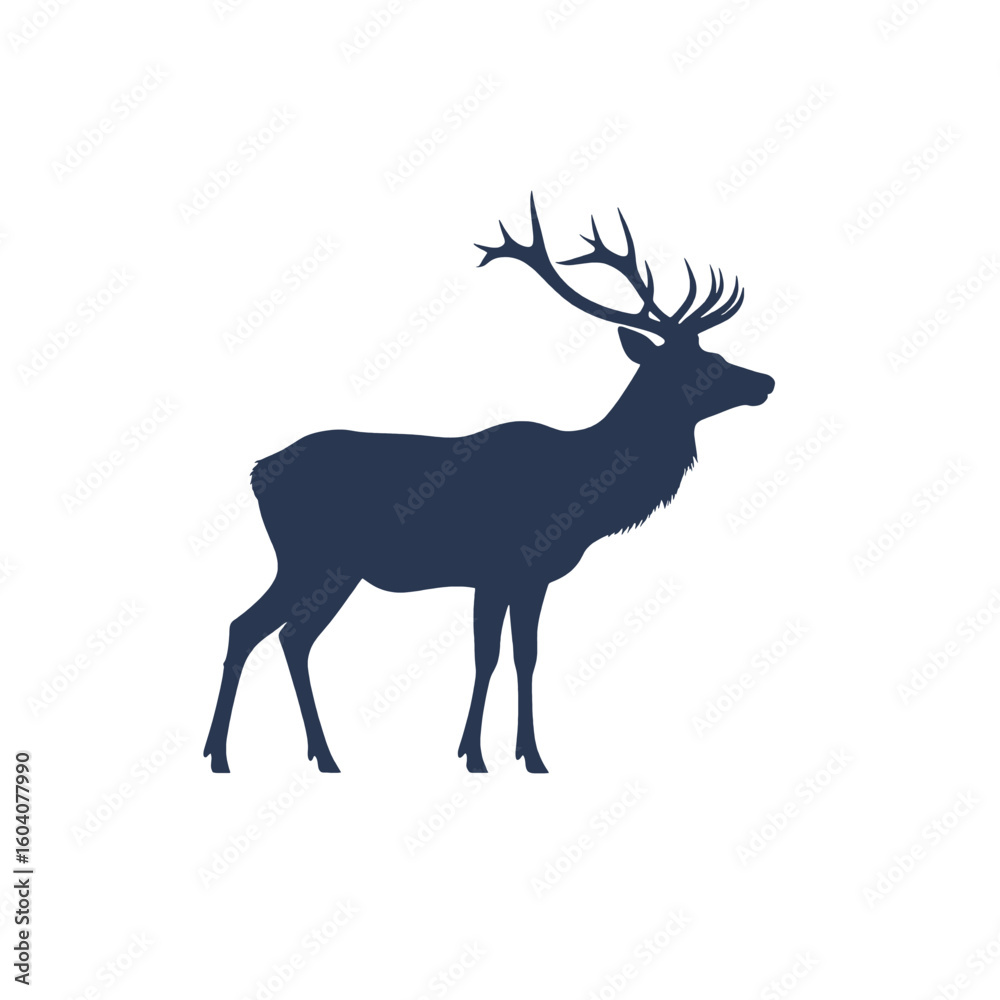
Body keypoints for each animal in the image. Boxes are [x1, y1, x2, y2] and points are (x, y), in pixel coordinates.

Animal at [204, 195, 774, 774]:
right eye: (701, 363)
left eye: (715, 354)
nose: (766, 382)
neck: (583, 490)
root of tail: (257, 472)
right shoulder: (498, 570)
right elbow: (489, 656)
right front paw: (476, 754)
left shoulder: (529, 579)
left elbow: (526, 656)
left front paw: (528, 754)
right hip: (312, 559)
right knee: (262, 630)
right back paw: (236, 755)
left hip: (330, 570)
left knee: (276, 634)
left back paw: (301, 755)